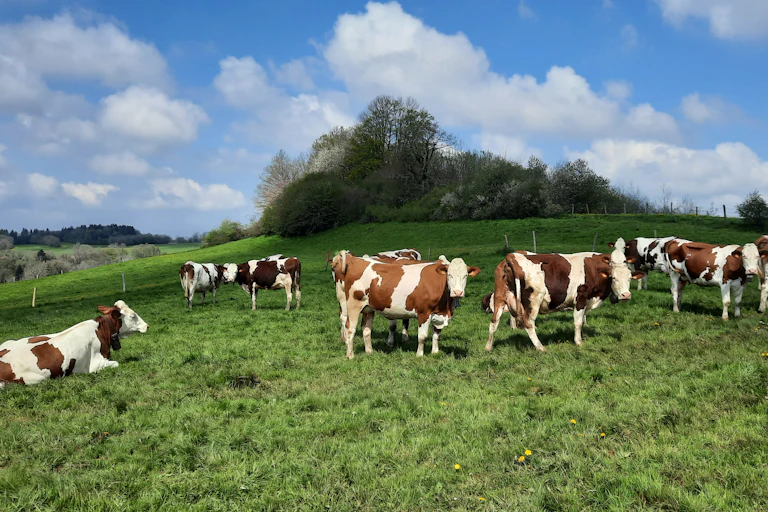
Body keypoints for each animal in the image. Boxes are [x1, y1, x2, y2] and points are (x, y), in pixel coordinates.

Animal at [0, 301, 148, 387]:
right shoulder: (96, 364)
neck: (101, 331)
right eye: (132, 316)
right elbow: (116, 363)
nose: (147, 325)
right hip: (37, 378)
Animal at [332, 251, 480, 359]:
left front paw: (435, 352)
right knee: (350, 328)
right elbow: (422, 336)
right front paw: (419, 355)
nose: (457, 292)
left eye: (466, 276)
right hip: (352, 305)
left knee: (366, 330)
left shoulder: (439, 314)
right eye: (449, 275)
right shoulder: (424, 313)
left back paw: (369, 351)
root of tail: (357, 259)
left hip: (368, 308)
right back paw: (350, 355)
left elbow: (436, 335)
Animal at [485, 244, 644, 352]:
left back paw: (488, 347)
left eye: (629, 278)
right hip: (533, 300)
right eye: (614, 278)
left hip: (500, 298)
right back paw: (540, 347)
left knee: (494, 322)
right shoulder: (580, 299)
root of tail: (512, 256)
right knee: (528, 323)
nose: (626, 295)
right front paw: (579, 342)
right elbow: (578, 322)